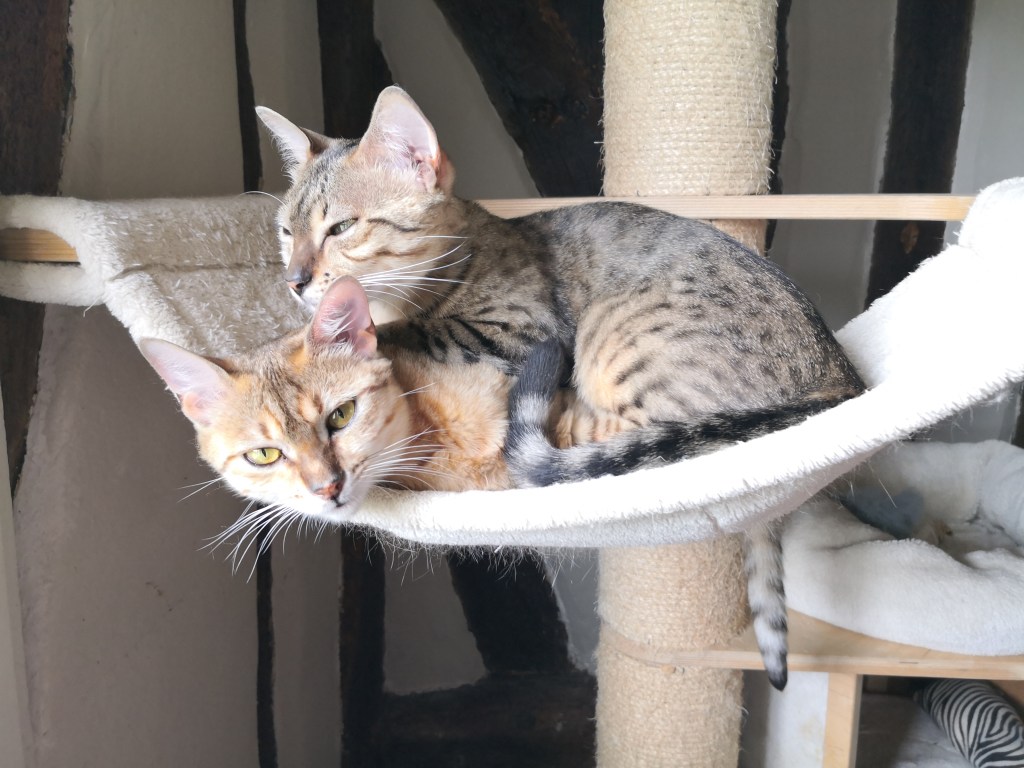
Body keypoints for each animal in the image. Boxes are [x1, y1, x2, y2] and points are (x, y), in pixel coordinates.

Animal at [255, 87, 866, 690]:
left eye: (340, 228)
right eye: (286, 232)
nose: (293, 281)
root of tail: (840, 377)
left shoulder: (518, 329)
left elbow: (410, 331)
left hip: (616, 337)